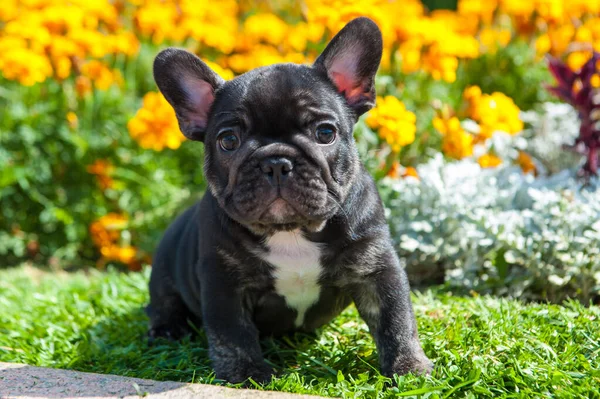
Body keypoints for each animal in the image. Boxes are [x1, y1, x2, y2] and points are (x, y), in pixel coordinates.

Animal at [148, 18, 434, 384]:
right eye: (228, 140)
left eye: (325, 133)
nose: (276, 162)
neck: (290, 231)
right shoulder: (223, 282)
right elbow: (232, 334)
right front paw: (246, 374)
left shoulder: (377, 268)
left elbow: (395, 320)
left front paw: (408, 368)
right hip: (164, 270)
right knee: (162, 303)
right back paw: (167, 329)